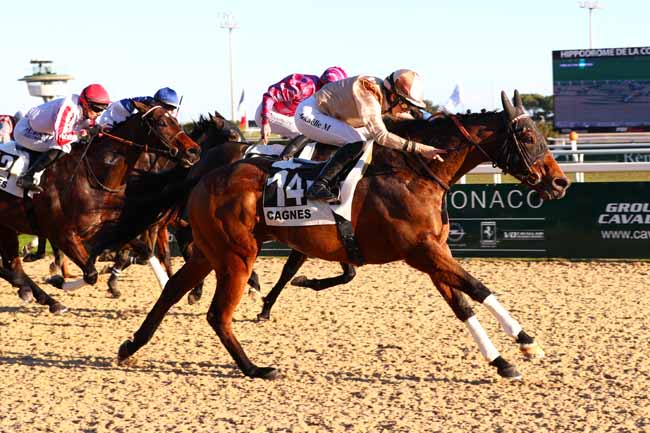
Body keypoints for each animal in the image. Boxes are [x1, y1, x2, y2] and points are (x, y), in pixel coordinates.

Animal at [0, 99, 199, 312]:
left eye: (175, 121)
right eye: (161, 122)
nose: (194, 150)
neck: (91, 176)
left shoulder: (110, 228)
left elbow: (143, 251)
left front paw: (165, 283)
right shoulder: (63, 235)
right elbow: (91, 274)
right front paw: (60, 281)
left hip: (7, 228)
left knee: (14, 266)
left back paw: (46, 299)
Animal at [116, 90, 568, 378]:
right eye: (528, 135)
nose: (560, 182)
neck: (413, 173)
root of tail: (201, 174)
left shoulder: (432, 254)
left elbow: (463, 304)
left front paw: (503, 360)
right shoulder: (422, 252)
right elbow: (477, 287)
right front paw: (527, 342)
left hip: (210, 252)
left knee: (173, 290)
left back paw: (130, 346)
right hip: (236, 255)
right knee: (217, 313)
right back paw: (255, 368)